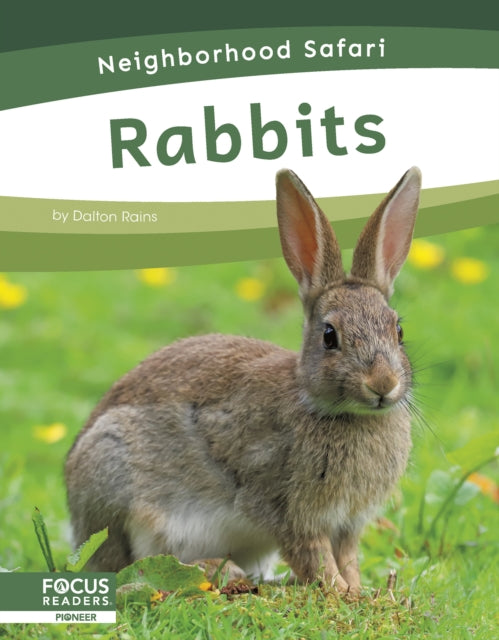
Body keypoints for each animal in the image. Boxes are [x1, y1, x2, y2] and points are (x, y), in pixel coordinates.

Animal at [65, 166, 422, 594]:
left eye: (398, 331)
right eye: (329, 336)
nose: (383, 384)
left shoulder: (348, 523)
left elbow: (348, 557)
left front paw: (361, 592)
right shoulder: (289, 510)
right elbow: (316, 558)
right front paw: (341, 593)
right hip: (114, 475)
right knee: (132, 565)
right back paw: (219, 571)